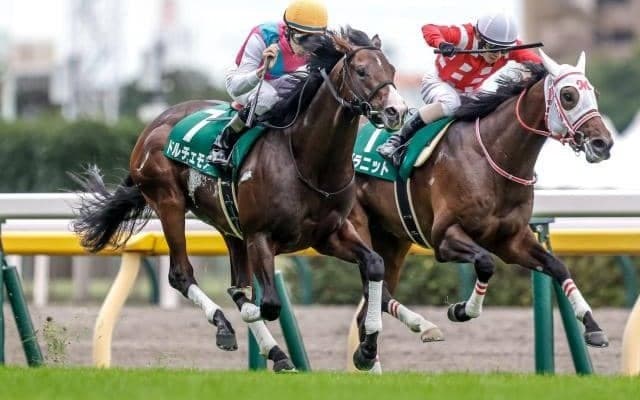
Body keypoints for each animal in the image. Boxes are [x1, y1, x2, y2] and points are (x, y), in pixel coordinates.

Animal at [71, 27, 408, 372]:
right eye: (362, 71)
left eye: (392, 70)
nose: (397, 111)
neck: (309, 162)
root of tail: (153, 125)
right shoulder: (261, 236)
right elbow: (268, 304)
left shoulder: (329, 234)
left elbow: (374, 264)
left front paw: (367, 348)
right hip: (169, 202)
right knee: (182, 274)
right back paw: (227, 327)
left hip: (228, 225)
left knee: (235, 283)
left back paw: (276, 352)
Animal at [346, 50, 614, 369]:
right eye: (569, 95)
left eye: (595, 93)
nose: (603, 143)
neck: (493, 158)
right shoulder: (445, 237)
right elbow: (486, 263)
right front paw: (461, 310)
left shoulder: (511, 241)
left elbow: (558, 266)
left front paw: (593, 326)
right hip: (356, 225)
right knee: (375, 285)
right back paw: (421, 326)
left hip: (393, 239)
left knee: (369, 302)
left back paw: (369, 353)